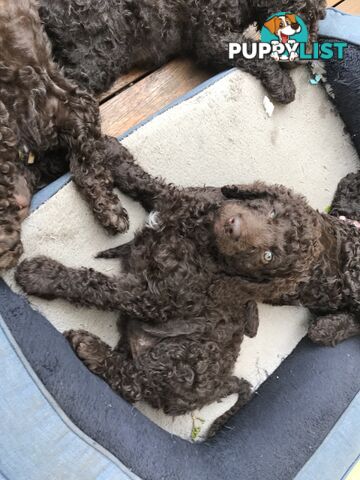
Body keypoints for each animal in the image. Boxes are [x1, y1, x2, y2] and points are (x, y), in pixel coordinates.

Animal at [16, 158, 258, 432]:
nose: (234, 225)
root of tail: (223, 383)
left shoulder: (154, 297)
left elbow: (97, 286)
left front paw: (42, 275)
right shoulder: (170, 201)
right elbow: (143, 182)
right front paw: (109, 155)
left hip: (187, 357)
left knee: (135, 384)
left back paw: (92, 349)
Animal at [38, 0, 326, 103]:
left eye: (320, 17)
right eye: (300, 17)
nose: (305, 58)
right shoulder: (211, 37)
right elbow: (252, 49)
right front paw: (282, 84)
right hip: (98, 56)